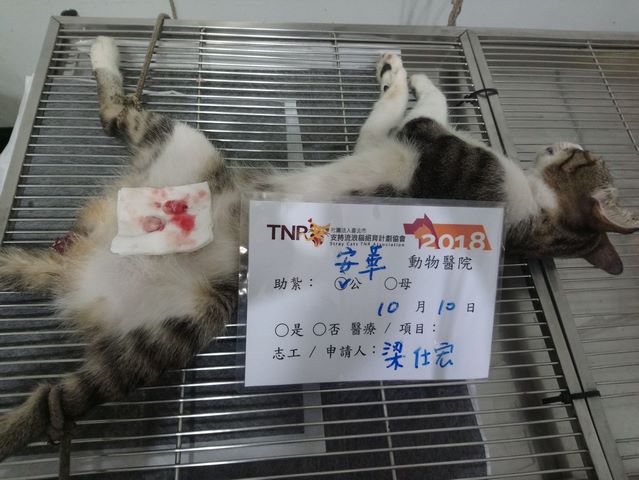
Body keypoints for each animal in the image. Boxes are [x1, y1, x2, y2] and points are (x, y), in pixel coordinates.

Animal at [0, 36, 637, 461]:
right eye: (588, 156)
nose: (564, 141)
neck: (529, 217)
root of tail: (83, 264)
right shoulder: (393, 142)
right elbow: (398, 110)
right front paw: (397, 69)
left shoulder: (426, 146)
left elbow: (421, 108)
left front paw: (413, 76)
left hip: (188, 273)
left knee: (59, 398)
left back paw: (103, 51)